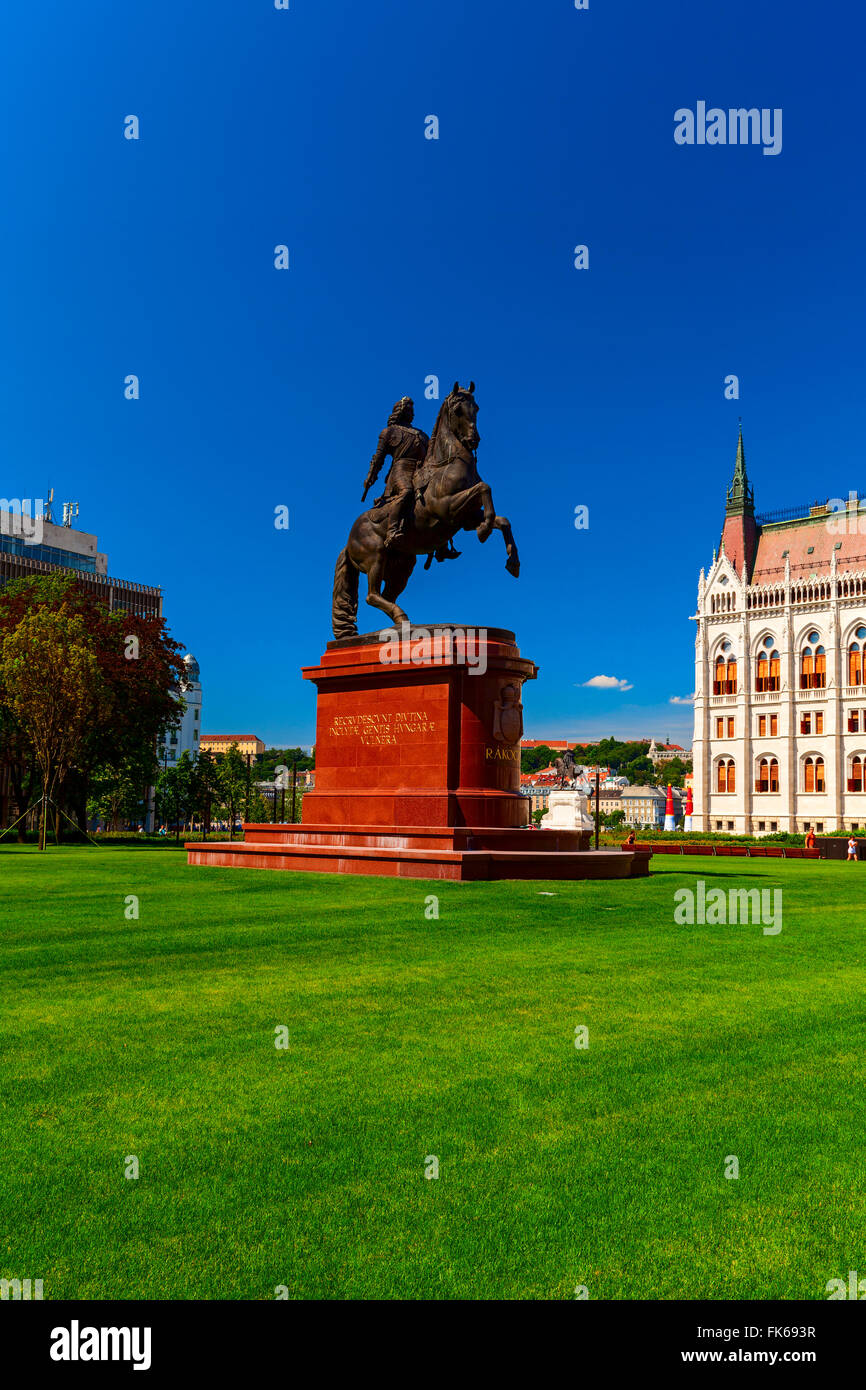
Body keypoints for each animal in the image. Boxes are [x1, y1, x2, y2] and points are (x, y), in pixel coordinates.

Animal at [333, 383, 522, 636]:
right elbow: (484, 488)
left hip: (402, 565)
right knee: (372, 595)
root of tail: (348, 540)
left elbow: (502, 520)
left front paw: (512, 561)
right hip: (375, 557)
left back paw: (403, 624)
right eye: (458, 410)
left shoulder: (466, 519)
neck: (449, 462)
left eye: (477, 408)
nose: (473, 440)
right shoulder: (447, 509)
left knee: (386, 595)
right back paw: (402, 617)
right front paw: (484, 532)